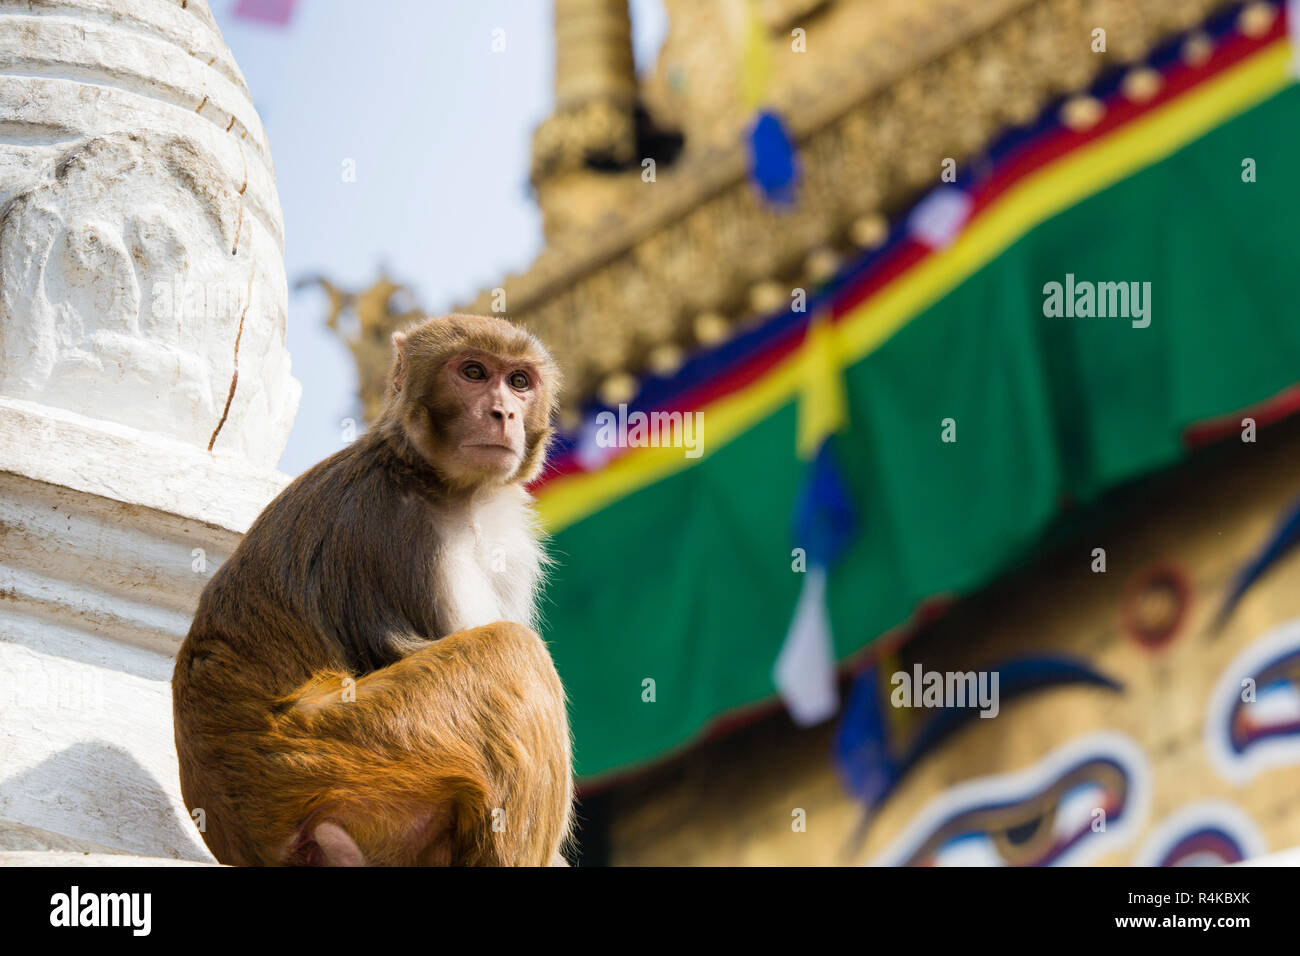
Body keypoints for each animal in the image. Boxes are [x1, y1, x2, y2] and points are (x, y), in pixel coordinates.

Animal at [172, 313, 572, 866]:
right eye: (473, 372)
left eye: (518, 382)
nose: (504, 412)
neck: (440, 483)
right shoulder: (402, 534)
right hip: (331, 754)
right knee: (510, 650)